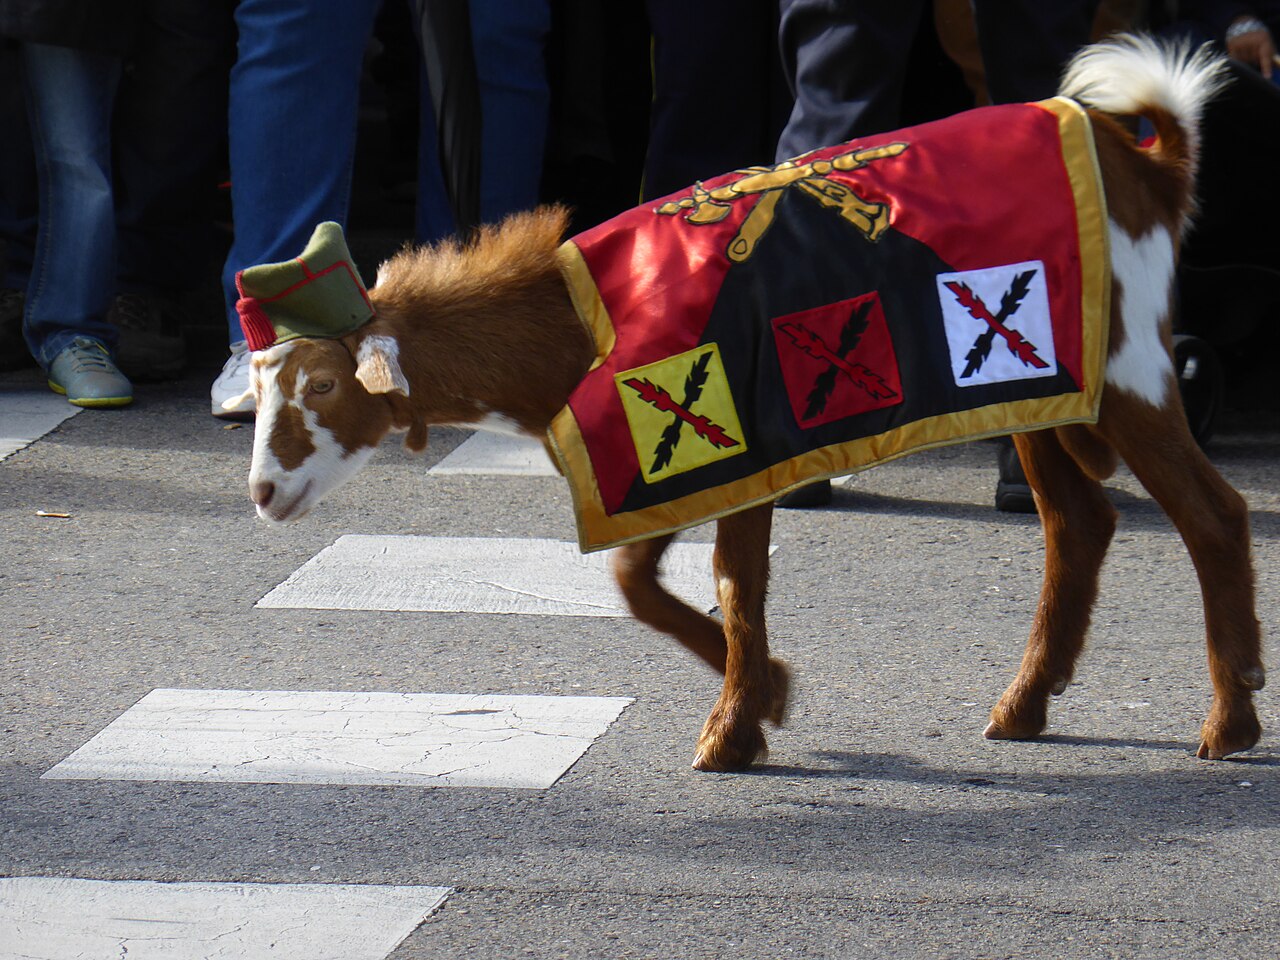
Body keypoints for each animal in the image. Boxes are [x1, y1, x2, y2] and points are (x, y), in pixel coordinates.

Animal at [242, 36, 1264, 771]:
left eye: (323, 385)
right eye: (257, 388)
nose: (260, 493)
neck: (578, 320)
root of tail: (1145, 165)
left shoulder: (740, 445)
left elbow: (735, 584)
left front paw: (733, 730)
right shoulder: (665, 460)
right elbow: (637, 582)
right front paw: (767, 693)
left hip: (1125, 368)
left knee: (1211, 512)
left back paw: (1231, 720)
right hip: (1043, 389)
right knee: (1080, 523)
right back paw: (1025, 705)